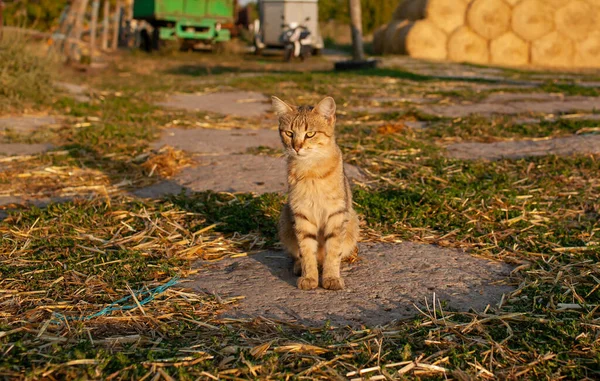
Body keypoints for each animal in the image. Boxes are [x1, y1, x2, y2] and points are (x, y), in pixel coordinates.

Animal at [274, 95, 360, 290]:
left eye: (310, 134)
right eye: (289, 133)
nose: (297, 147)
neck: (310, 171)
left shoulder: (336, 215)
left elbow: (333, 252)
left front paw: (331, 277)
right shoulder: (301, 214)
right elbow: (306, 251)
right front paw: (310, 277)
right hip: (285, 220)